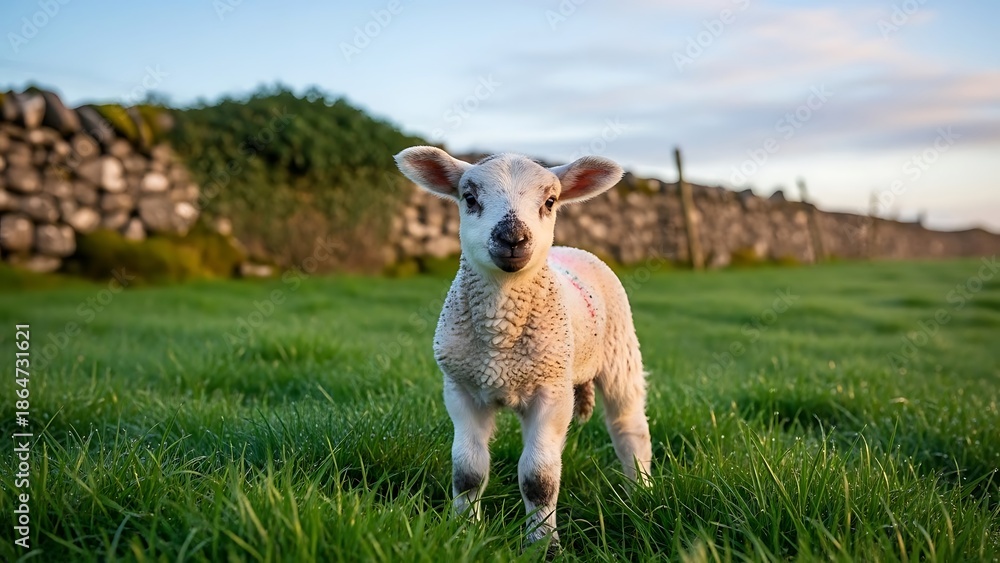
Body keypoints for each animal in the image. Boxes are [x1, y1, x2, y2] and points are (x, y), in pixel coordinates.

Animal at [395, 146, 652, 552]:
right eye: (470, 198)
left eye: (550, 201)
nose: (512, 237)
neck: (500, 338)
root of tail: (570, 248)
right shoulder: (461, 388)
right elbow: (468, 471)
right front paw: (463, 531)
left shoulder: (551, 391)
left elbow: (538, 477)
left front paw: (544, 545)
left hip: (619, 352)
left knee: (629, 428)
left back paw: (640, 491)